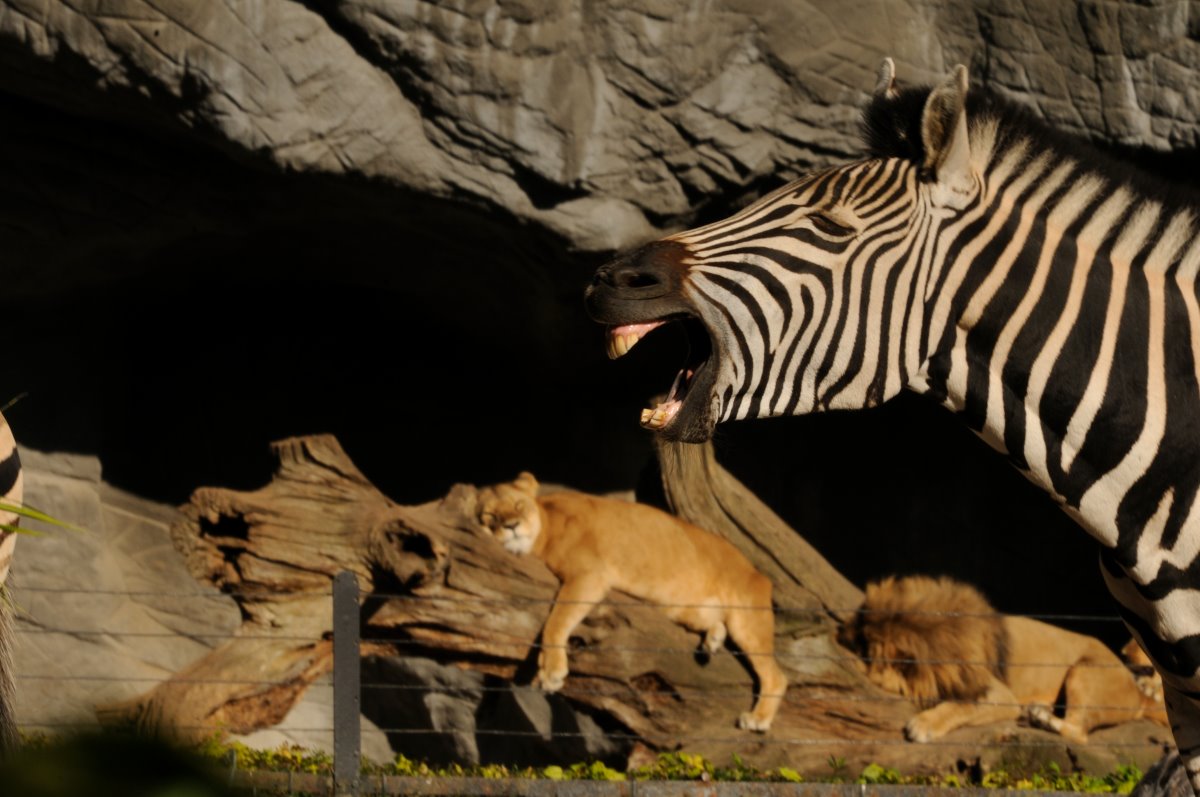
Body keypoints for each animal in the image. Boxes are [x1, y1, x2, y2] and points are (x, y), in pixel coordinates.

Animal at [475, 471, 787, 731]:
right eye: (490, 515)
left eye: (518, 506)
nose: (512, 526)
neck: (545, 528)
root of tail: (756, 571)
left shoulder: (590, 576)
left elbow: (556, 621)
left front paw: (551, 672)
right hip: (682, 609)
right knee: (714, 623)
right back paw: (713, 639)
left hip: (747, 621)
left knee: (776, 676)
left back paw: (758, 719)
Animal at [837, 575, 1165, 743]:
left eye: (864, 645)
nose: (840, 632)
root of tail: (1137, 692)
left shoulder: (1000, 695)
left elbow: (962, 704)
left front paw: (924, 724)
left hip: (1085, 671)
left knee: (1078, 733)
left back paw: (1041, 719)